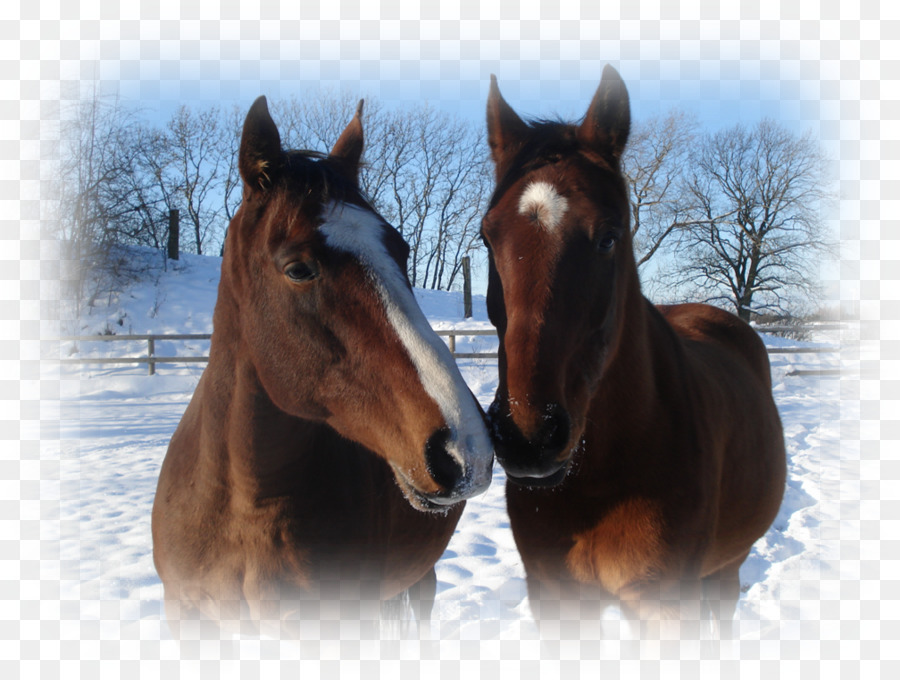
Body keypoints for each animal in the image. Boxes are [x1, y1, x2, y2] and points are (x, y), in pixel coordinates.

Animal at [482, 65, 784, 636]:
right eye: (487, 236)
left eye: (608, 237)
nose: (529, 437)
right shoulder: (556, 602)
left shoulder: (666, 608)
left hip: (724, 575)